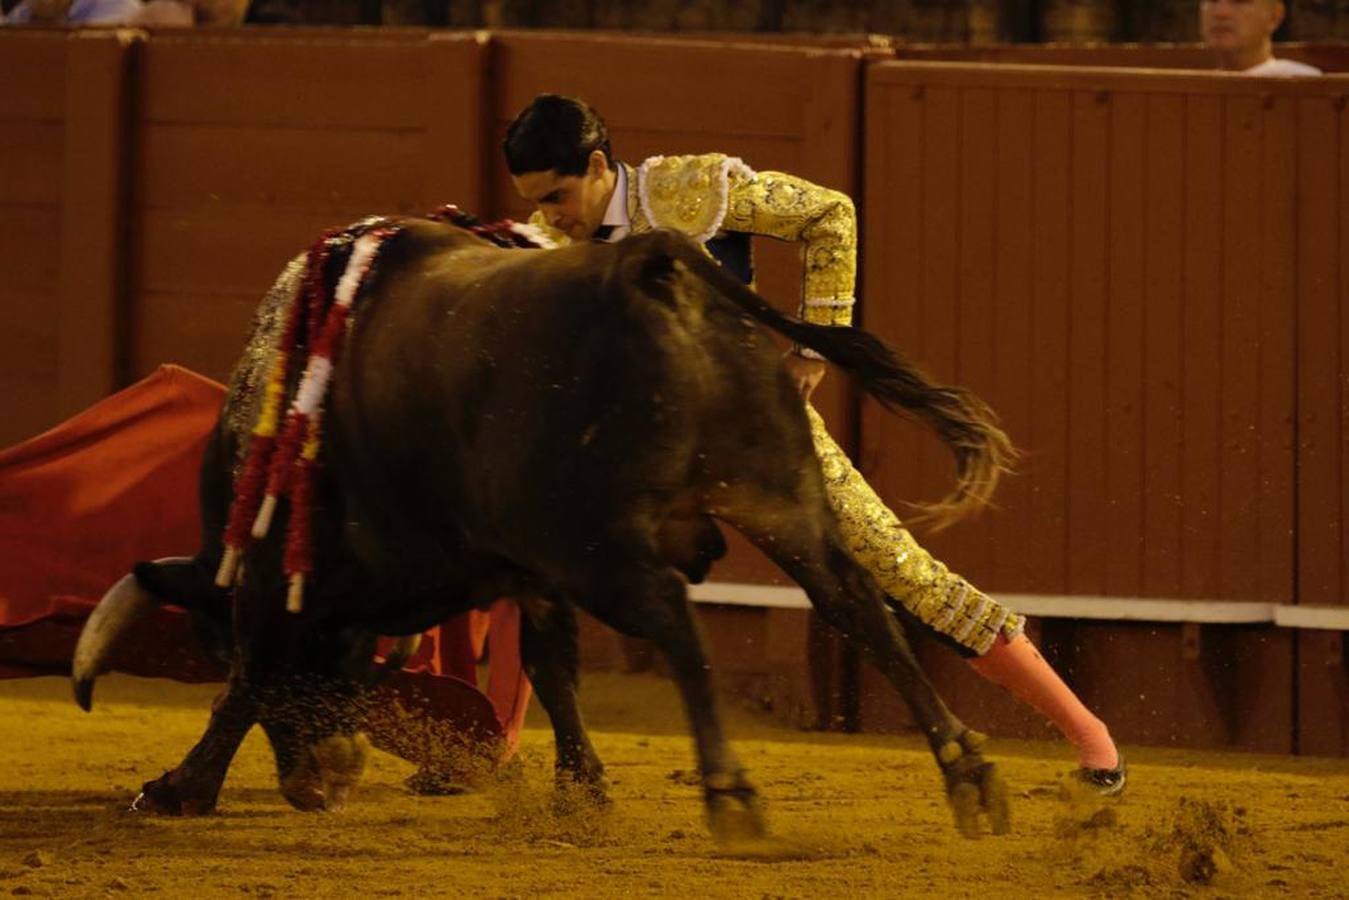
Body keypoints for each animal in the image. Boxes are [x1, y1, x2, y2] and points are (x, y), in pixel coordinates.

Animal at [68, 221, 1014, 841]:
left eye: (211, 641)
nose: (320, 783)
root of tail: (649, 262)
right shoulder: (528, 569)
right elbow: (550, 666)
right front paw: (582, 788)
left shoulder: (280, 580)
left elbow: (251, 677)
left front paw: (178, 787)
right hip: (776, 496)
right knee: (857, 604)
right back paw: (969, 778)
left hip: (604, 547)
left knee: (678, 620)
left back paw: (731, 793)